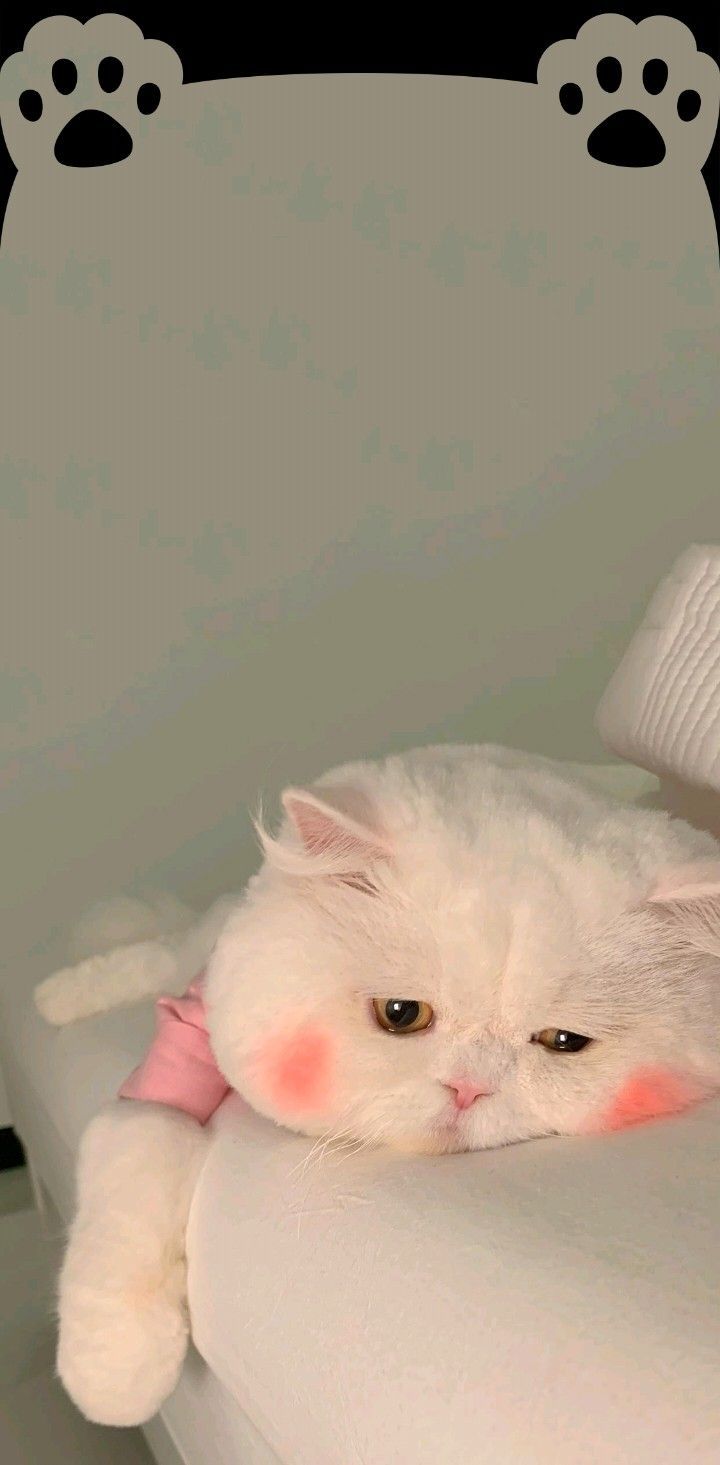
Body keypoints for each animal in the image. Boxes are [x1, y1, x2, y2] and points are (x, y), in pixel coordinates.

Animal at [57, 744, 720, 1418]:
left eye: (562, 1043)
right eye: (401, 1014)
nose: (468, 1089)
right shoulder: (172, 1065)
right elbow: (135, 1175)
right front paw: (113, 1372)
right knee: (160, 949)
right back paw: (58, 994)